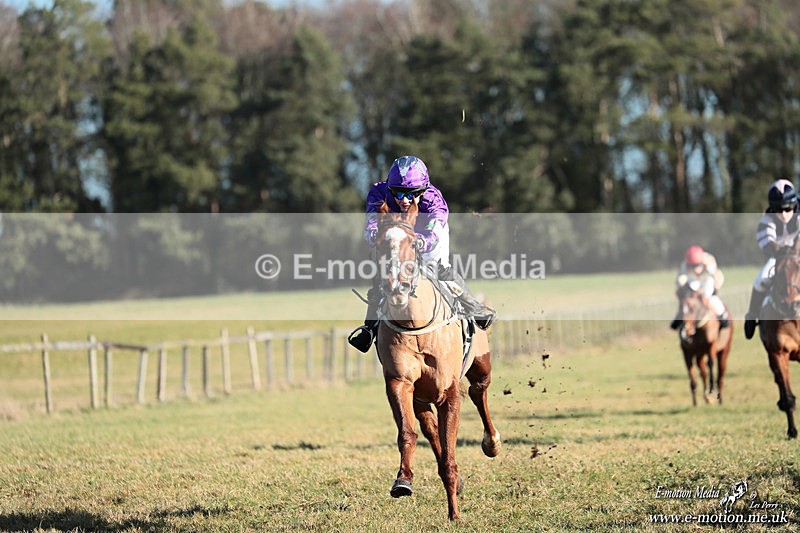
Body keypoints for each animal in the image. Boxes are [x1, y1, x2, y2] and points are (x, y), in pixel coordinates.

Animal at [372, 201, 501, 520]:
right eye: (379, 244)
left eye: (413, 243)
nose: (396, 286)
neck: (415, 325)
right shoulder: (400, 382)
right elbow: (408, 432)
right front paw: (403, 480)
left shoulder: (449, 391)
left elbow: (450, 448)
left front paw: (454, 512)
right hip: (421, 396)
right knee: (429, 427)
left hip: (481, 364)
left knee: (479, 392)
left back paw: (491, 443)